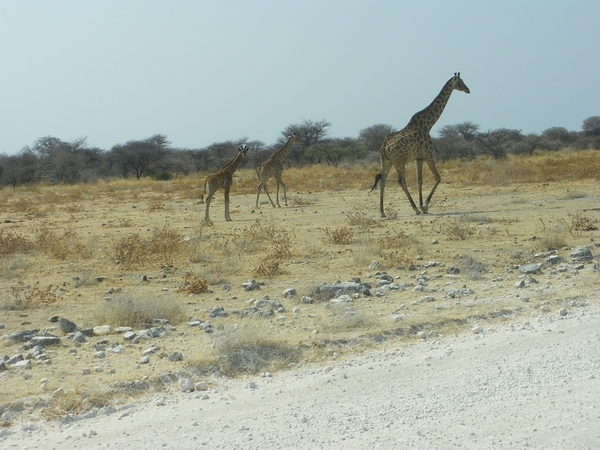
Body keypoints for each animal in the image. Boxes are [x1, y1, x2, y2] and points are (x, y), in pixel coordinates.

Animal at [372, 72, 472, 216]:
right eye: (460, 82)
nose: (468, 90)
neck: (428, 124)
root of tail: (384, 146)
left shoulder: (418, 158)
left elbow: (420, 181)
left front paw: (422, 205)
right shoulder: (428, 153)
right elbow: (438, 177)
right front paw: (424, 206)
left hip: (386, 161)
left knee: (383, 180)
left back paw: (382, 212)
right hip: (399, 161)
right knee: (401, 181)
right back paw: (415, 209)